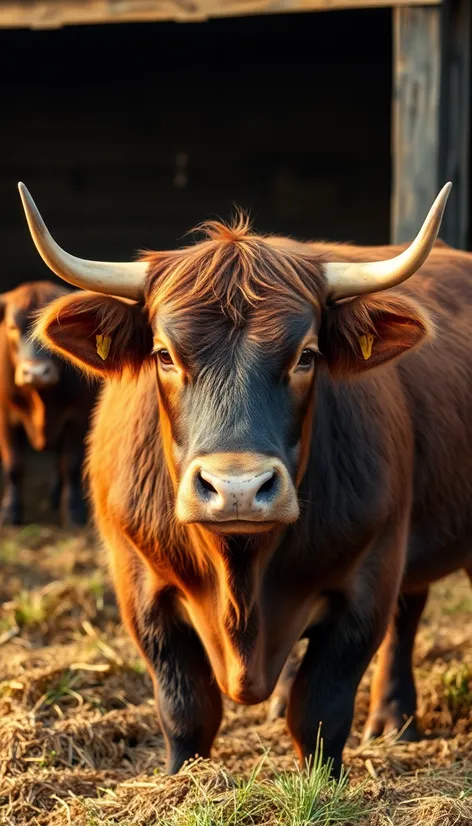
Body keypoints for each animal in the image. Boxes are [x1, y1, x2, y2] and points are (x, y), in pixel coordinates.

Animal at [0, 282, 96, 520]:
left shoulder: (78, 418)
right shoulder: (5, 418)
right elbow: (14, 465)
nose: (36, 373)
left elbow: (70, 464)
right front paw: (11, 509)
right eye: (12, 327)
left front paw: (73, 510)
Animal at [18, 179, 472, 772]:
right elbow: (186, 709)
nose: (237, 488)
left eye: (306, 355)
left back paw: (393, 719)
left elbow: (321, 708)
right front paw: (182, 779)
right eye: (164, 354)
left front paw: (323, 779)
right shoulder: (139, 586)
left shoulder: (370, 575)